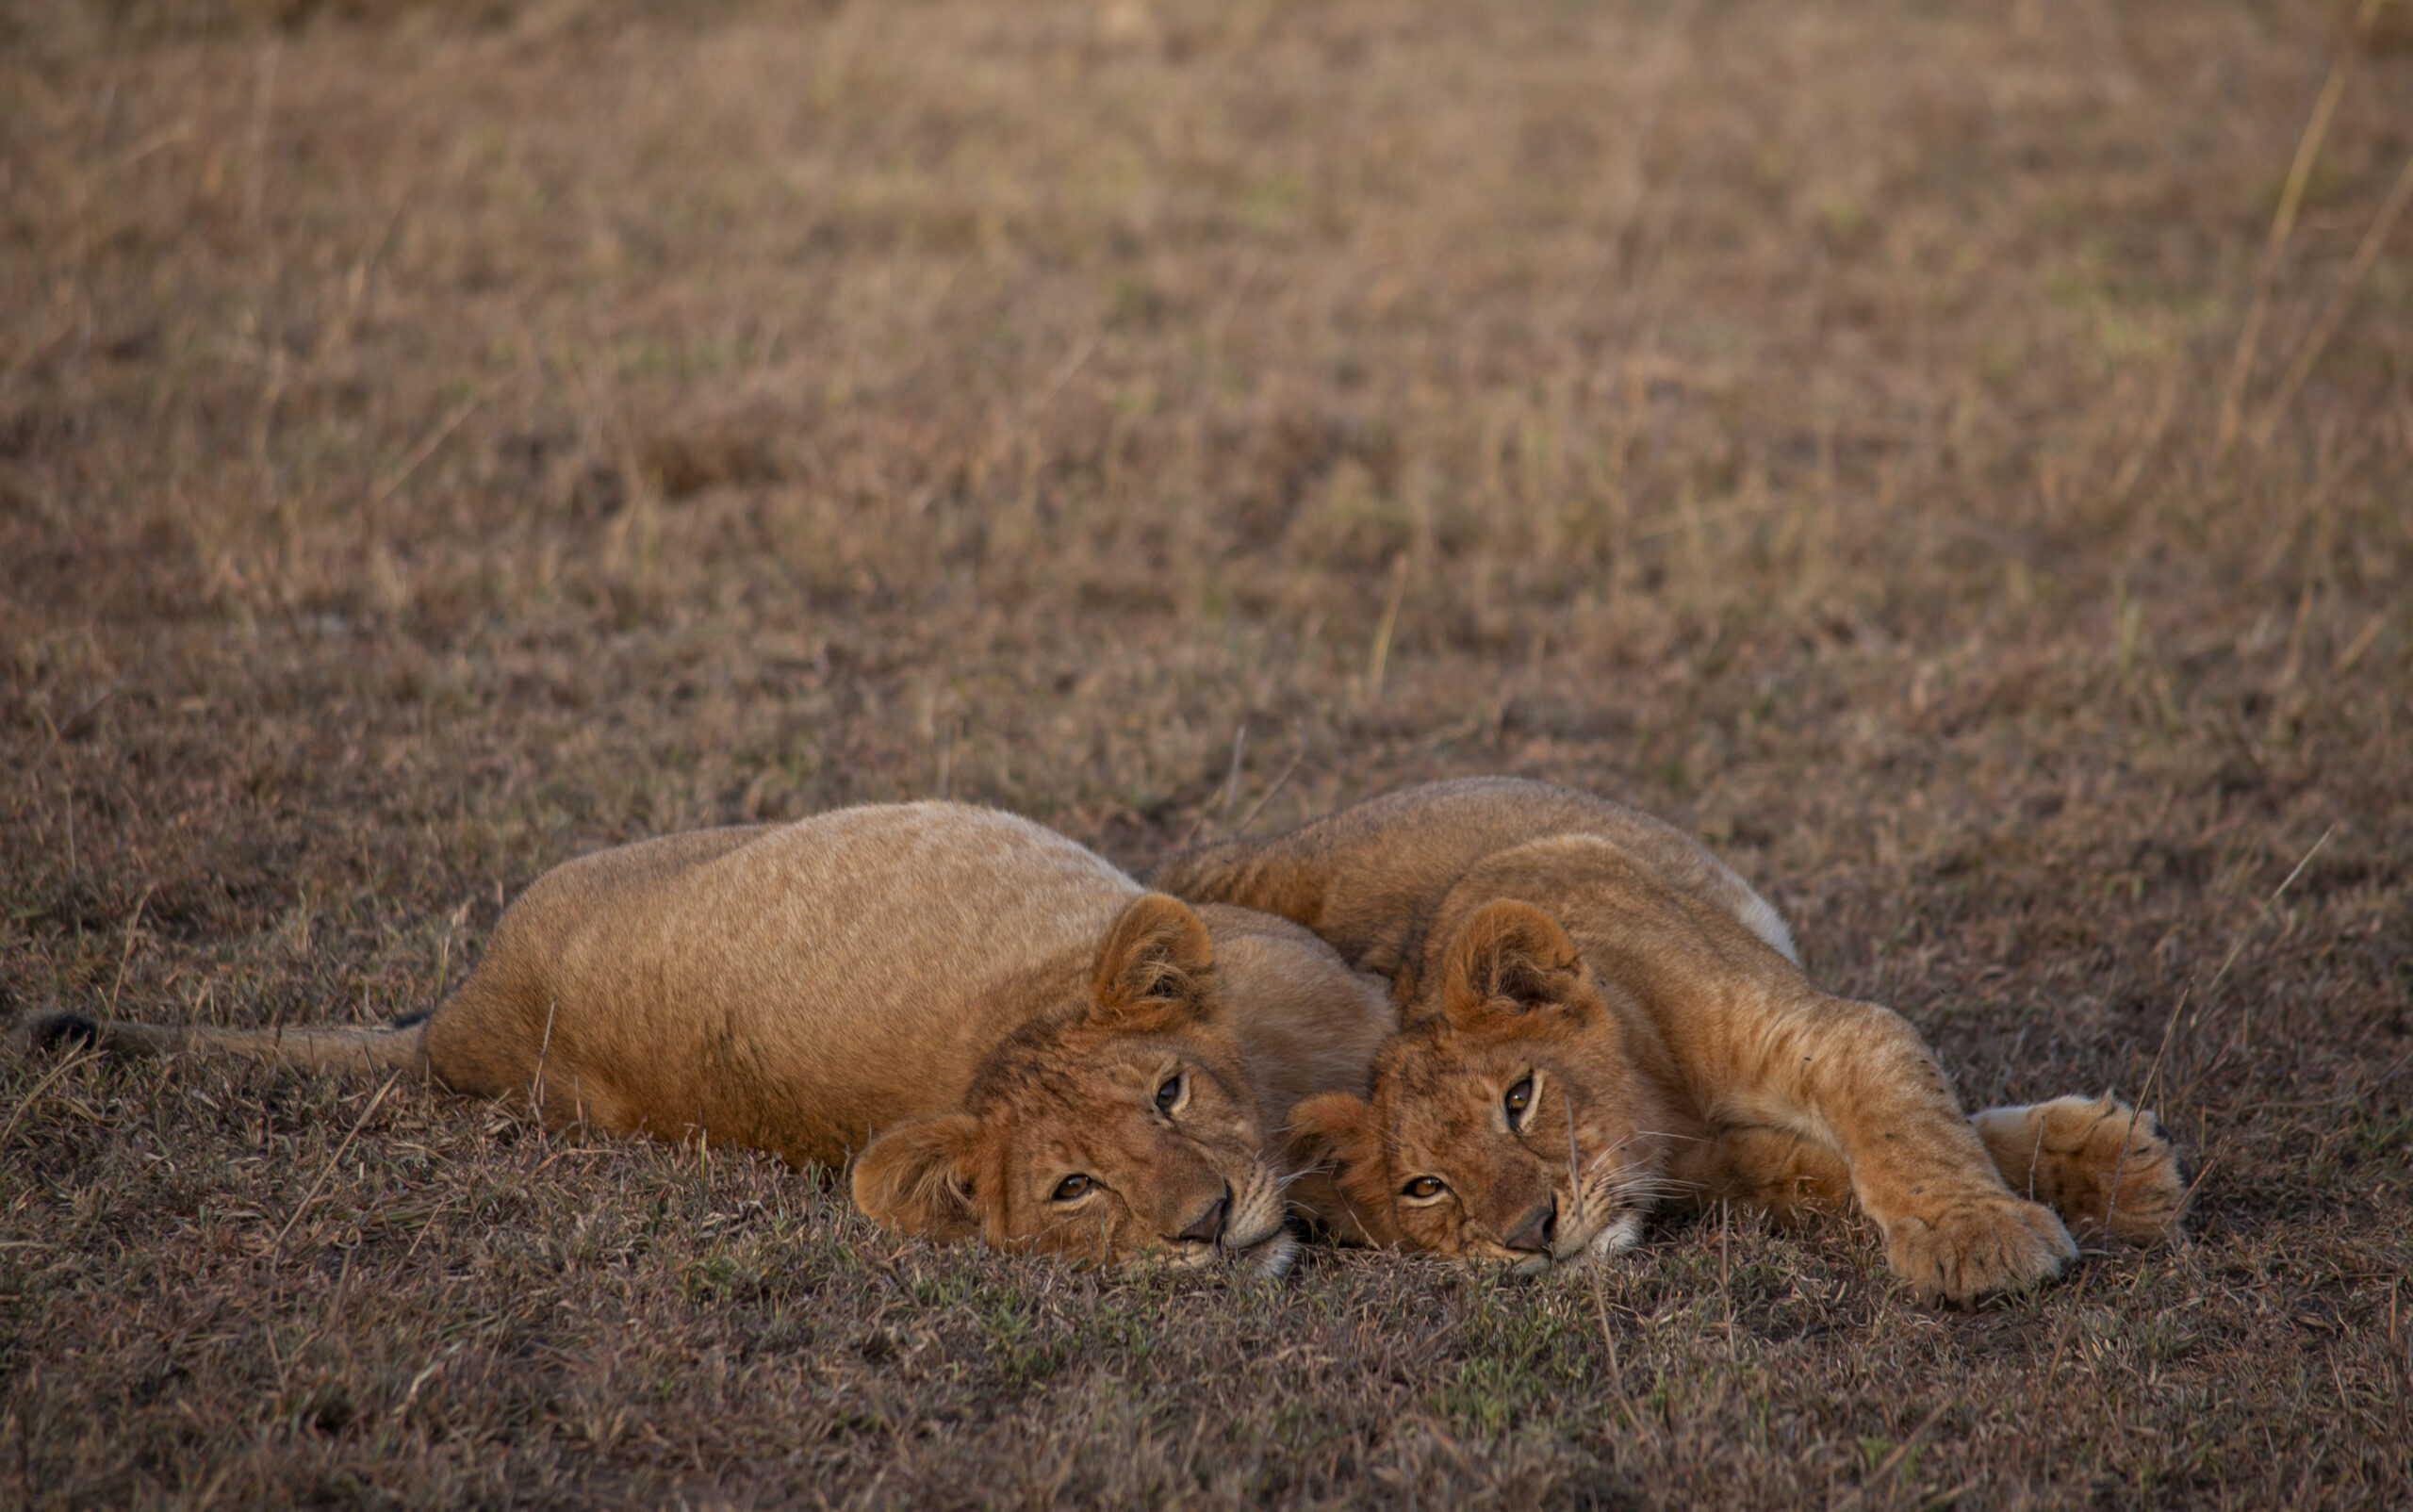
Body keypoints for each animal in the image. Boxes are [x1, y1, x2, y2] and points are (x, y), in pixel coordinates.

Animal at [1150, 778, 2187, 1304]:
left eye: (1519, 1097)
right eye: (1425, 1187)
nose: (1531, 1235)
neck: (1658, 1101)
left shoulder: (1808, 1030)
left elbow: (1905, 1109)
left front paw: (1995, 1229)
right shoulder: (1715, 1164)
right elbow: (1830, 1166)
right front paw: (2100, 1174)